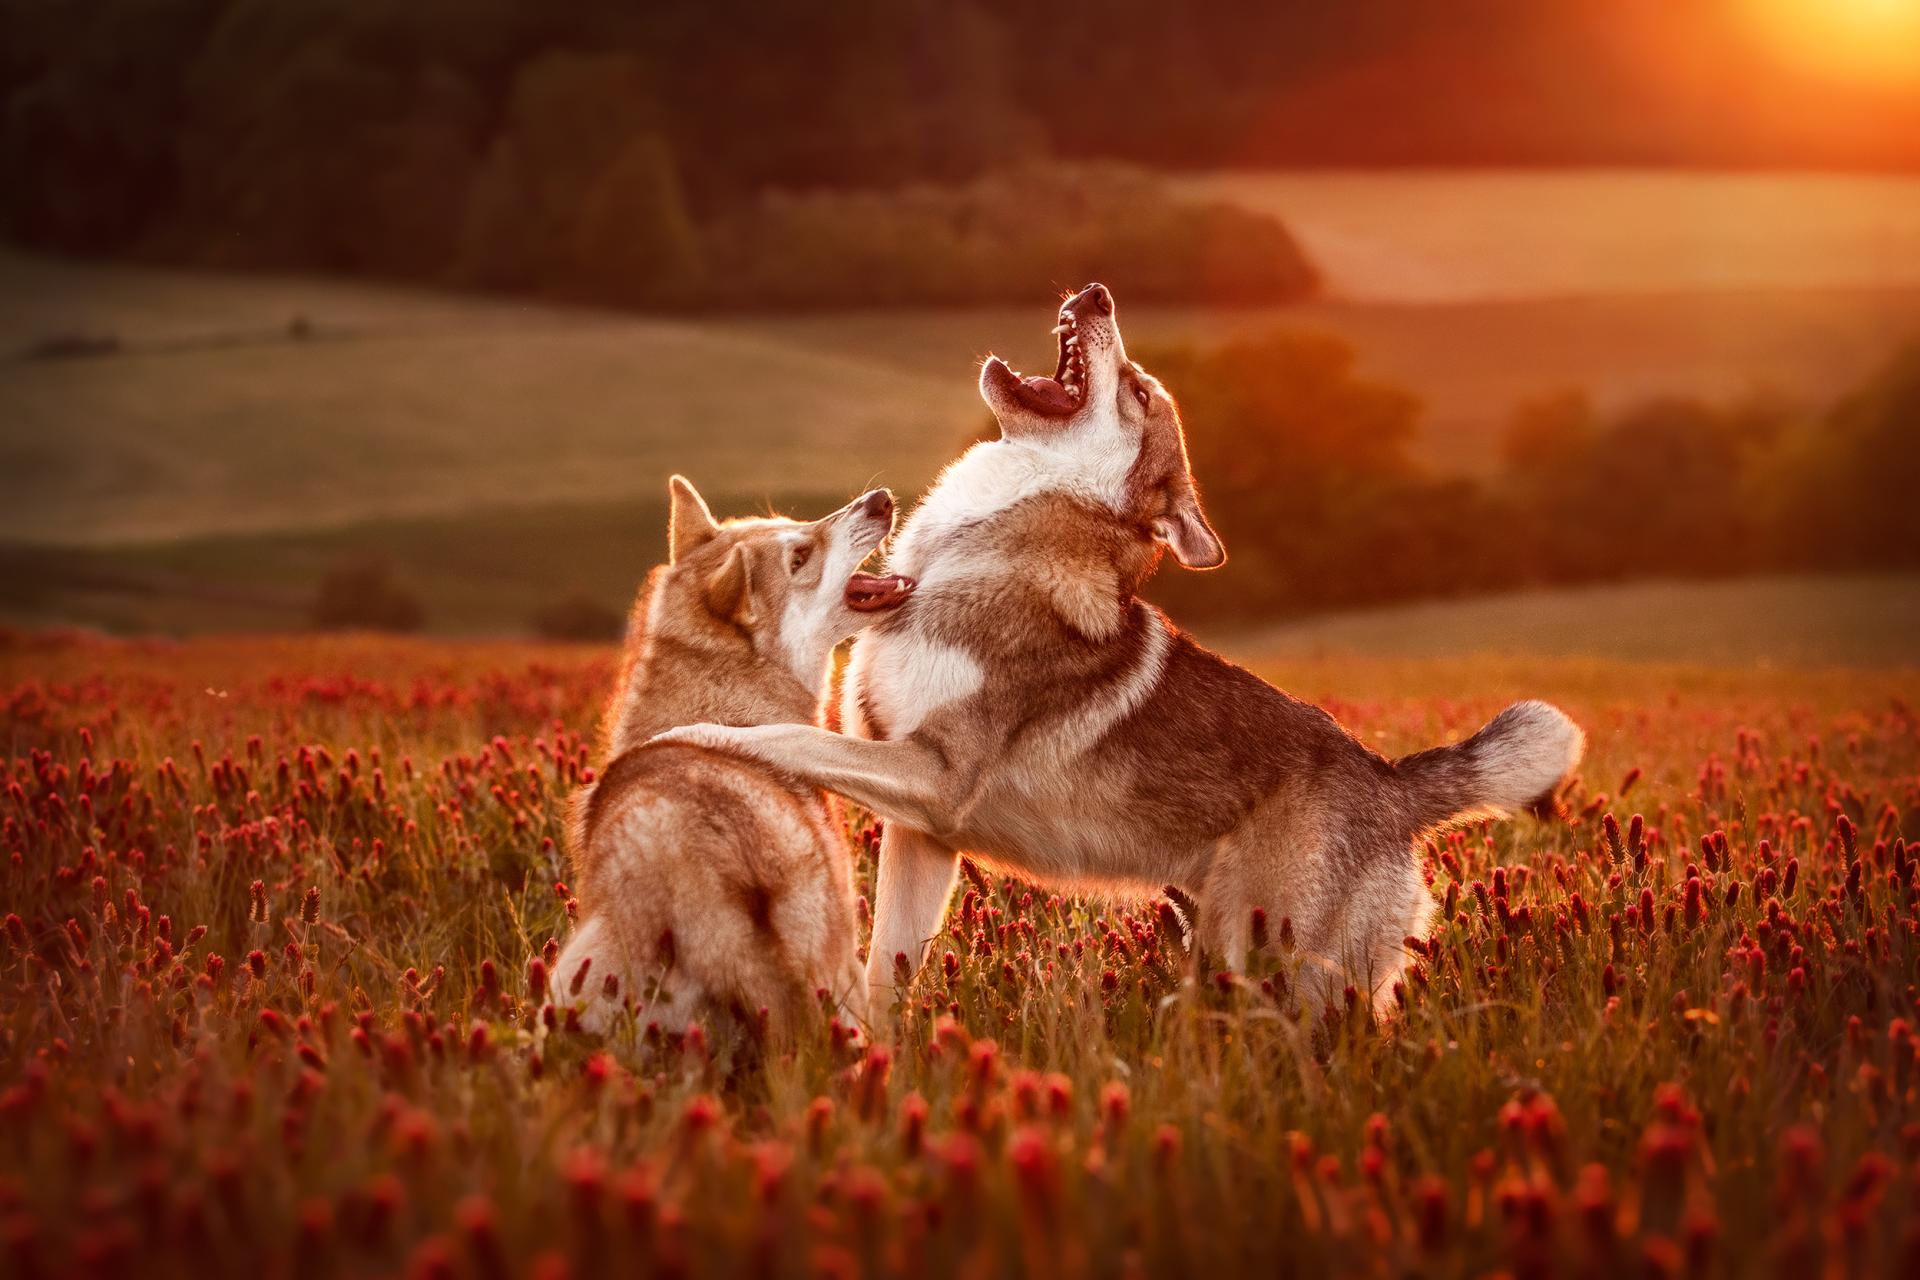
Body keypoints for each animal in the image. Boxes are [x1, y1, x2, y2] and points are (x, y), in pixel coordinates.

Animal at [652, 285, 1582, 1013]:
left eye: (1136, 389)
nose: (1096, 293)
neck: (964, 552)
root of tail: (1393, 784)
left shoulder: (936, 777)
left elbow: (785, 737)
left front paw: (688, 737)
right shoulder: (923, 834)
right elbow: (886, 978)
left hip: (1273, 974)